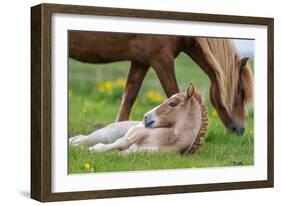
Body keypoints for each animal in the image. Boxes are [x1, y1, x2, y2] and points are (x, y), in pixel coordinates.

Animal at [69, 31, 253, 134]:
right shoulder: (162, 59)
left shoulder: (141, 62)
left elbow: (129, 98)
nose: (240, 130)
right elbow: (174, 92)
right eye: (241, 90)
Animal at [69, 83, 207, 153]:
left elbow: (120, 150)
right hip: (105, 134)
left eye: (172, 104)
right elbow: (116, 144)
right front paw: (93, 149)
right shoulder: (131, 137)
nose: (145, 117)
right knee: (82, 138)